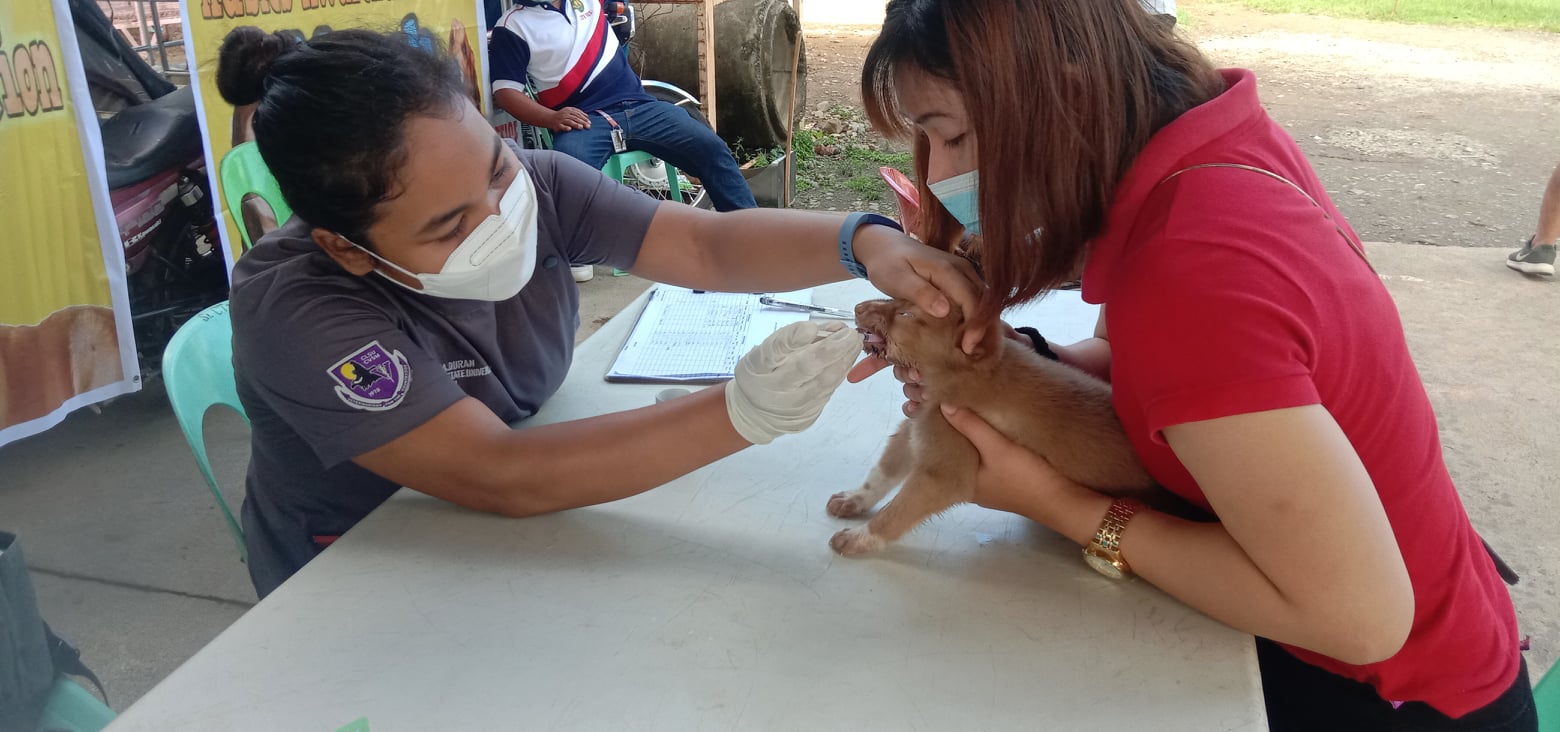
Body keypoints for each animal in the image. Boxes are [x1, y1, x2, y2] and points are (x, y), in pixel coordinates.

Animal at [829, 296, 1173, 552]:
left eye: (906, 313)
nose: (857, 306)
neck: (966, 372)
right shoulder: (915, 428)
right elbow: (881, 474)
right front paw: (853, 499)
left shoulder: (943, 469)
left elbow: (895, 512)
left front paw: (859, 538)